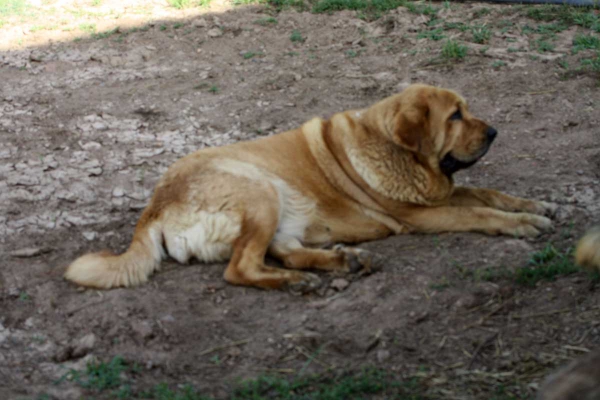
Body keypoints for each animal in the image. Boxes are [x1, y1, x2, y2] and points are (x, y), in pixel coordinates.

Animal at [63, 83, 556, 290]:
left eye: (466, 110)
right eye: (454, 116)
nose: (494, 132)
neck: (393, 148)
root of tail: (155, 206)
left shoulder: (441, 194)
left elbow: (490, 195)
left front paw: (535, 205)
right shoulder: (422, 214)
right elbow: (480, 210)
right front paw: (521, 223)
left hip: (277, 206)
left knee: (282, 251)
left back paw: (341, 262)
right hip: (260, 190)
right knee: (241, 268)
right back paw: (298, 282)